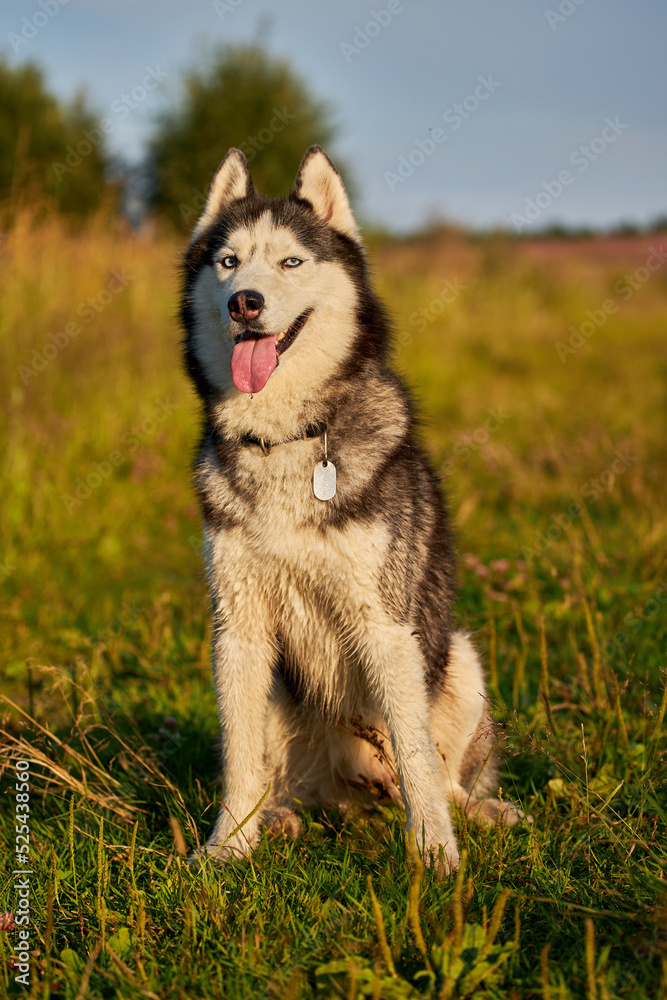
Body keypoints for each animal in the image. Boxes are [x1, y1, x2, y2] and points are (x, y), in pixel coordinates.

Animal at [180, 145, 524, 872]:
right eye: (228, 261)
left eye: (290, 262)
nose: (244, 302)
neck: (285, 439)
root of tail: (356, 790)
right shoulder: (237, 630)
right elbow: (238, 759)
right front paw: (227, 848)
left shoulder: (385, 626)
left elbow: (419, 760)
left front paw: (433, 854)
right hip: (285, 702)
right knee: (284, 780)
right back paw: (278, 819)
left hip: (457, 656)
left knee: (446, 778)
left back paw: (479, 814)